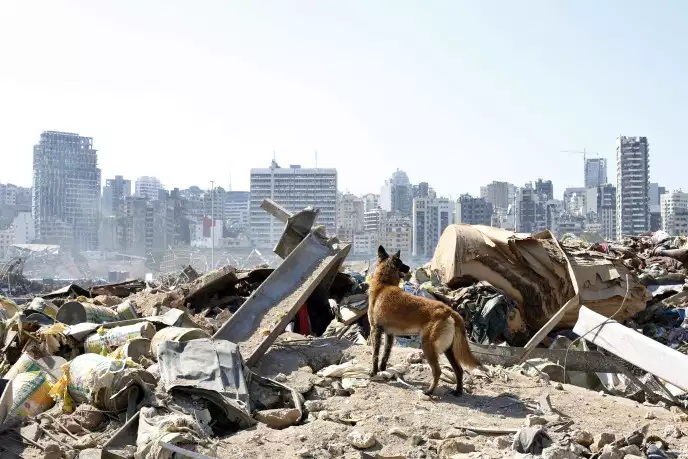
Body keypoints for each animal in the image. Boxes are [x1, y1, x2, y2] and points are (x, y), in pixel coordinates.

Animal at [368, 246, 482, 398]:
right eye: (402, 263)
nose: (409, 267)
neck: (384, 284)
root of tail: (449, 311)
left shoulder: (375, 330)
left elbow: (375, 354)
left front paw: (374, 372)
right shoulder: (389, 334)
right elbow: (385, 354)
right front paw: (382, 369)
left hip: (428, 346)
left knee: (438, 371)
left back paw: (429, 391)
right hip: (448, 350)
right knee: (459, 370)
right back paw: (458, 391)